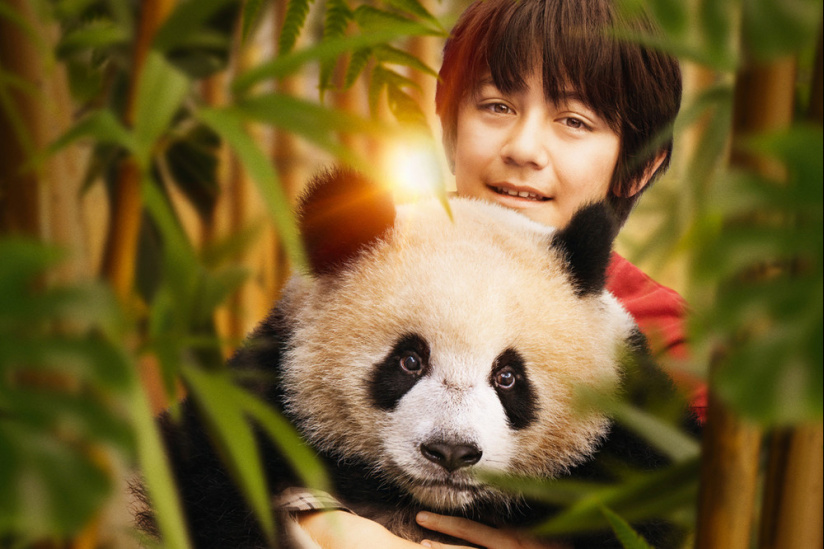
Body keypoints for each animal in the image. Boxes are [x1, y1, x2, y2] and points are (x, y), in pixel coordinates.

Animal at [137, 167, 687, 548]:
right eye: (409, 361)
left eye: (508, 377)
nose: (451, 452)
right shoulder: (270, 391)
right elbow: (210, 478)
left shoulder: (630, 425)